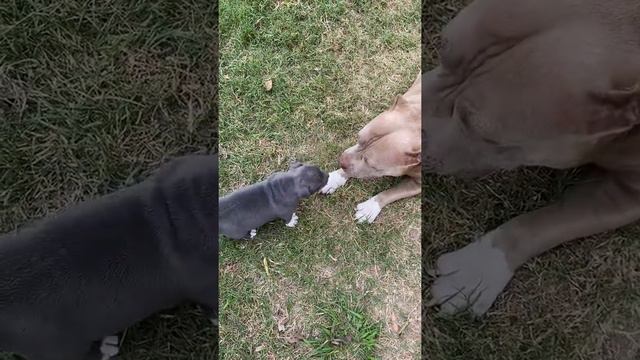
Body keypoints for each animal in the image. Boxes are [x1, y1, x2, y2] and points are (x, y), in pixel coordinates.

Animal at [322, 74, 422, 222]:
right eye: (358, 138)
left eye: (373, 165)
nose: (341, 162)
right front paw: (336, 177)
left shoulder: (418, 184)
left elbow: (393, 192)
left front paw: (370, 207)